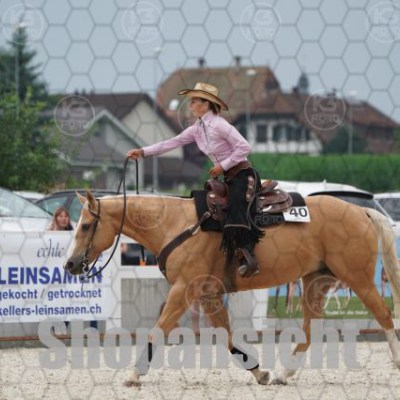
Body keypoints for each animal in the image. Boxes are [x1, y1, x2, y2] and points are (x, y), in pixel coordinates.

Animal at [64, 191, 400, 387]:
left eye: (85, 226)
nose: (70, 264)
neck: (176, 224)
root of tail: (361, 211)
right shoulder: (209, 294)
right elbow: (226, 337)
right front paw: (259, 372)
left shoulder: (183, 290)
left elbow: (157, 331)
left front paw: (134, 374)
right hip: (316, 281)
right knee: (309, 330)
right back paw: (283, 374)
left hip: (357, 277)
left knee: (384, 315)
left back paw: (396, 361)